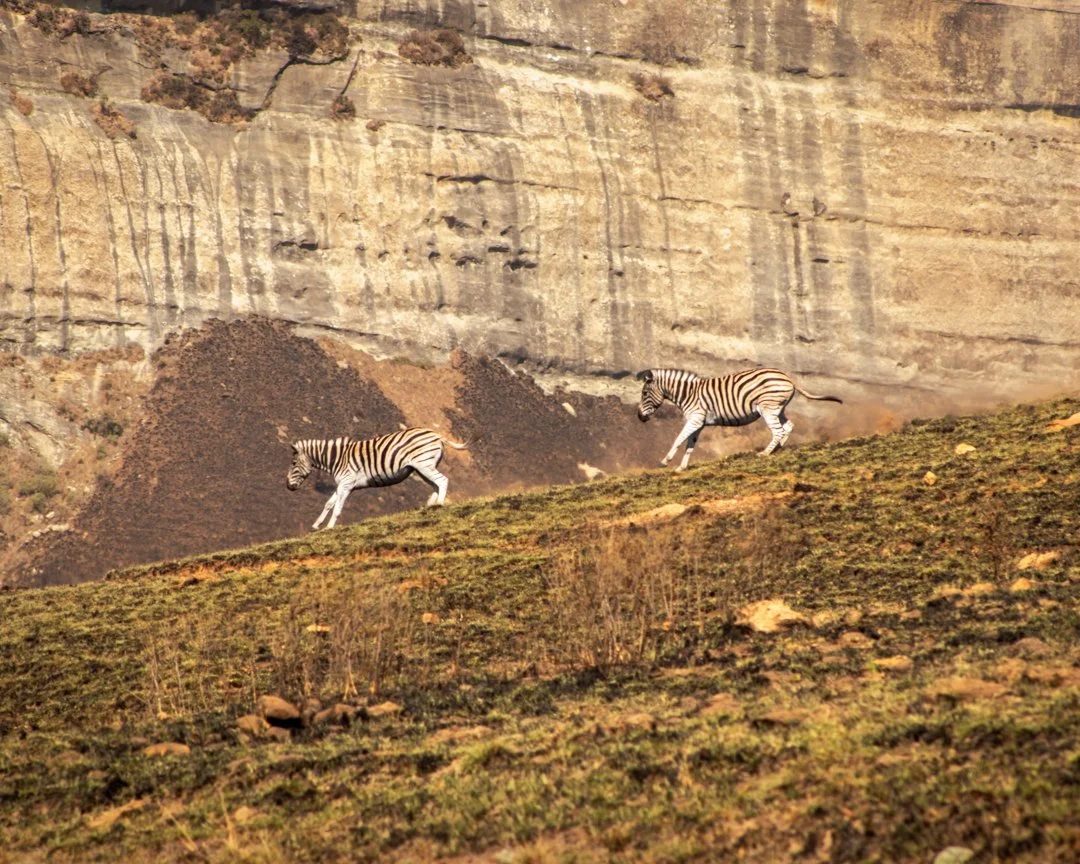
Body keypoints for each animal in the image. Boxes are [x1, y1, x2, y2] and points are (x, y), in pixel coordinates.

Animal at [286, 427, 468, 530]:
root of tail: (437, 435)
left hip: (424, 464)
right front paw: (316, 525)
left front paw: (329, 528)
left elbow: (337, 508)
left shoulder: (346, 484)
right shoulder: (342, 485)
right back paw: (431, 506)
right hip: (422, 467)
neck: (337, 459)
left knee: (442, 481)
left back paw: (440, 505)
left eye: (294, 463)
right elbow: (329, 504)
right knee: (436, 485)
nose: (288, 486)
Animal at [636, 367, 842, 470]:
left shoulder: (695, 418)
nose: (639, 417)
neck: (688, 394)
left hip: (767, 408)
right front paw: (682, 467)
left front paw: (665, 461)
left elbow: (678, 439)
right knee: (788, 426)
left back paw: (765, 453)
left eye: (644, 393)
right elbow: (690, 444)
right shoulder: (700, 422)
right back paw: (777, 449)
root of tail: (787, 377)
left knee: (777, 430)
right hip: (778, 408)